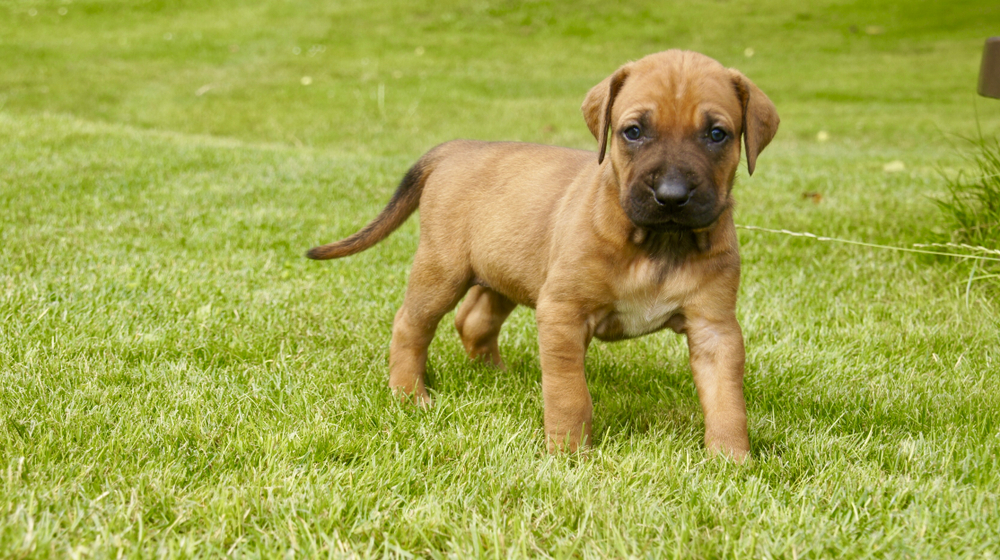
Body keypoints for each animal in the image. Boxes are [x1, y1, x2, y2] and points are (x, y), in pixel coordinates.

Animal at [308, 50, 776, 462]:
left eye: (717, 134)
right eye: (633, 131)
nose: (672, 196)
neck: (659, 244)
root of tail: (456, 147)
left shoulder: (714, 328)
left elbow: (727, 401)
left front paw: (731, 459)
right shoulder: (563, 312)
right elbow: (569, 394)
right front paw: (569, 454)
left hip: (504, 268)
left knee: (474, 319)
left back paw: (495, 375)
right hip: (441, 271)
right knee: (411, 325)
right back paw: (409, 394)